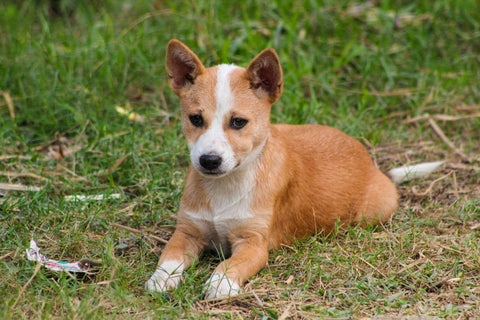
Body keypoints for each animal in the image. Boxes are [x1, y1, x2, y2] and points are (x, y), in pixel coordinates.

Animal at [145, 40, 398, 300]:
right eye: (195, 118)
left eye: (238, 122)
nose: (209, 160)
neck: (227, 185)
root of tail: (369, 161)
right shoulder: (186, 233)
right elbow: (169, 257)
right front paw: (161, 279)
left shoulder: (254, 243)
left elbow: (230, 263)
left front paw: (221, 283)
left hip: (374, 212)